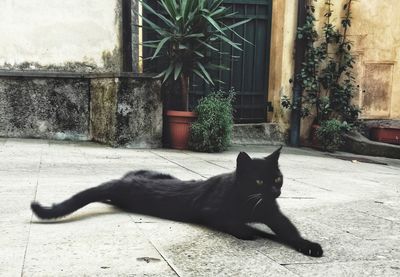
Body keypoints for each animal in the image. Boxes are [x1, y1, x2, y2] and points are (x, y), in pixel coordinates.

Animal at [32, 147, 324, 256]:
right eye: (259, 182)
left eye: (277, 178)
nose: (275, 192)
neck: (252, 202)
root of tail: (124, 181)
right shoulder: (212, 211)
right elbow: (234, 223)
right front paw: (249, 231)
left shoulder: (274, 213)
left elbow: (289, 229)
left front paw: (309, 246)